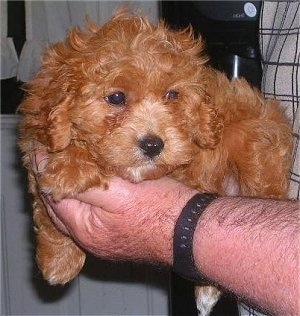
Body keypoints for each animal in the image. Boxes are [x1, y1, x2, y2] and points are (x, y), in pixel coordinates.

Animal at [18, 11, 290, 316]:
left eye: (172, 95)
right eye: (116, 98)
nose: (153, 145)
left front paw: (71, 168)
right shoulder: (34, 146)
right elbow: (47, 211)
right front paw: (58, 261)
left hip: (257, 136)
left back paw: (208, 290)